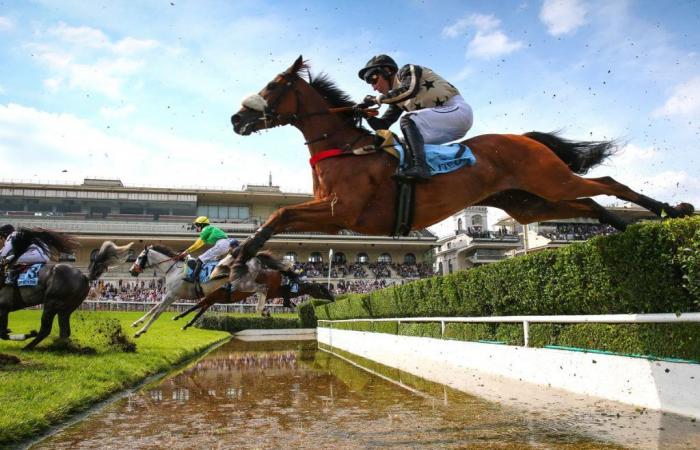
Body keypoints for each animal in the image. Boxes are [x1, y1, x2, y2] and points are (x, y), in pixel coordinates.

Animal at [228, 56, 696, 274]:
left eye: (273, 85)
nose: (236, 118)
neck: (344, 149)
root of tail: (524, 138)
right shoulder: (335, 213)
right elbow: (282, 217)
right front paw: (239, 254)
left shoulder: (343, 212)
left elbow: (281, 214)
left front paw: (237, 255)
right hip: (528, 202)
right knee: (590, 206)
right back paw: (623, 229)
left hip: (551, 181)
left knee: (610, 182)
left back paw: (671, 211)